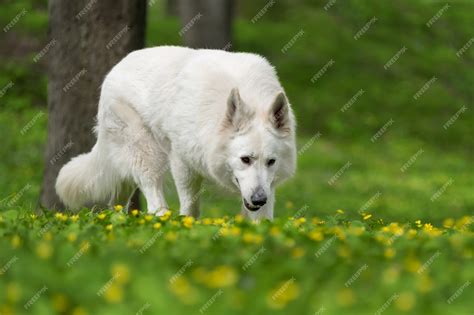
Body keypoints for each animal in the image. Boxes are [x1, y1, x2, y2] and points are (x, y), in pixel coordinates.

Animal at [56, 45, 296, 221]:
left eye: (271, 162)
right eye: (245, 159)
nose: (259, 199)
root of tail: (116, 67)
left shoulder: (268, 186)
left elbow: (261, 220)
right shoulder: (183, 165)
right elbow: (190, 208)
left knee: (118, 198)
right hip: (147, 156)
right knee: (154, 201)